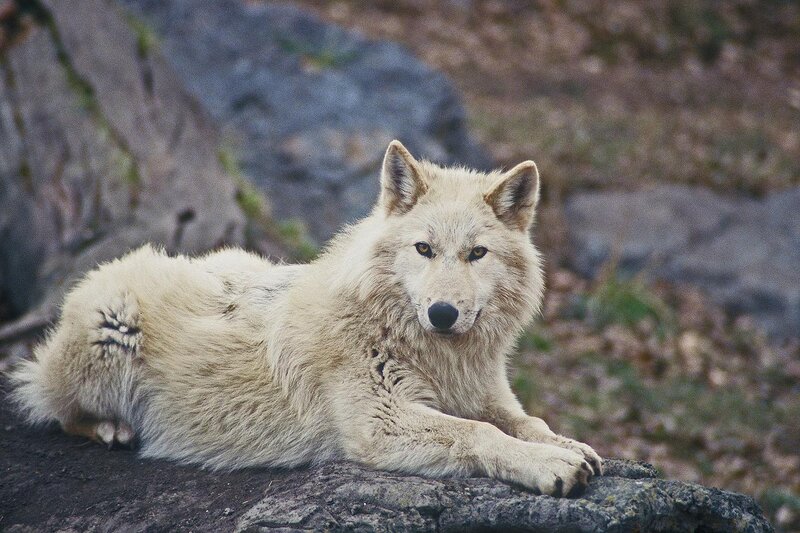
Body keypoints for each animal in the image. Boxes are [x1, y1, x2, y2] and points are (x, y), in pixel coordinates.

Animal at [11, 140, 602, 496]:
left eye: (477, 254)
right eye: (424, 249)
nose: (442, 313)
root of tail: (104, 270)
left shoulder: (487, 394)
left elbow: (526, 422)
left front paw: (571, 447)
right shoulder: (379, 425)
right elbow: (478, 432)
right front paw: (551, 466)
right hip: (110, 332)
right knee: (55, 408)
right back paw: (111, 428)